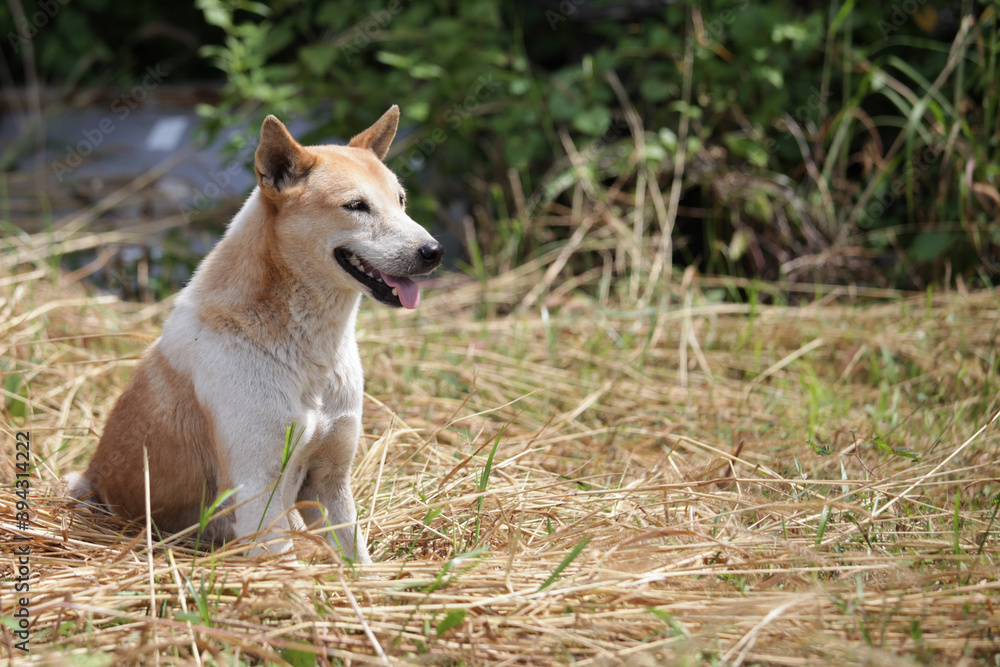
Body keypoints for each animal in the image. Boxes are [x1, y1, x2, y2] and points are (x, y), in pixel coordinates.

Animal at [68, 105, 444, 564]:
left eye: (401, 201)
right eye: (356, 206)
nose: (434, 252)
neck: (308, 350)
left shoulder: (329, 482)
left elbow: (358, 560)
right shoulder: (257, 494)